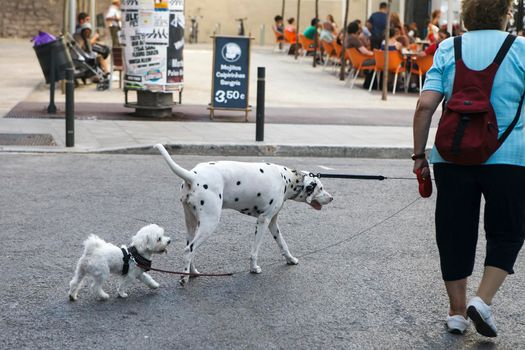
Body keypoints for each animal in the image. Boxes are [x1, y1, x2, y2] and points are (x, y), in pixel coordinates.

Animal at [154, 145, 332, 284]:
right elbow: (255, 250)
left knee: (190, 249)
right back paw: (184, 278)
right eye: (321, 188)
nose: (331, 198)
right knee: (188, 250)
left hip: (191, 224)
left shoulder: (273, 223)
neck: (286, 179)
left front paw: (290, 259)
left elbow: (283, 244)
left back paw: (192, 273)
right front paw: (253, 268)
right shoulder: (263, 221)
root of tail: (193, 175)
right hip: (209, 223)